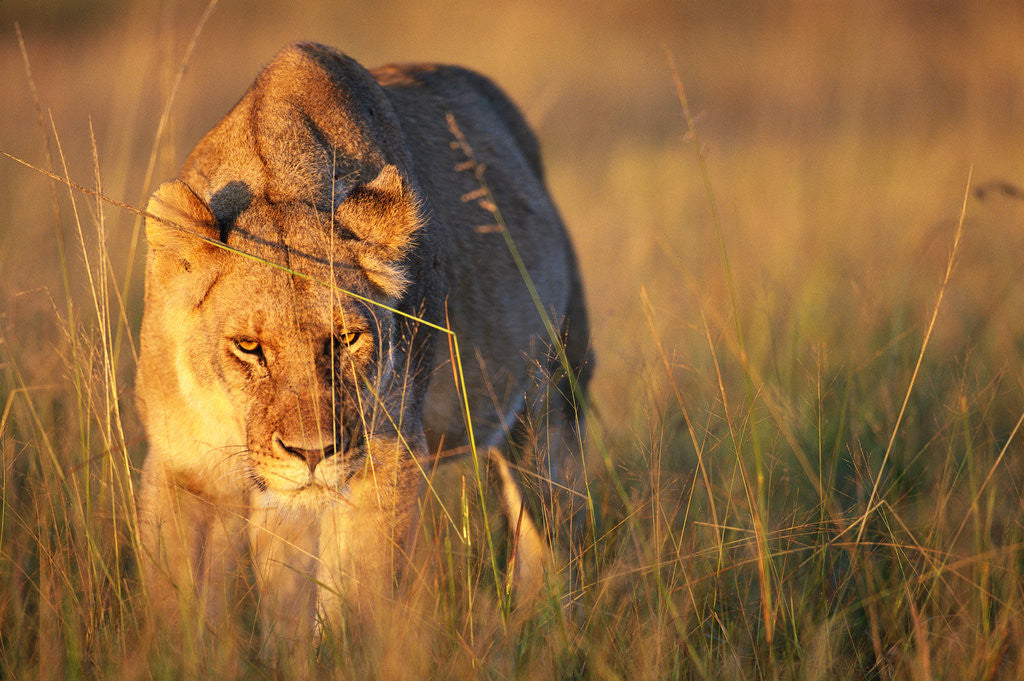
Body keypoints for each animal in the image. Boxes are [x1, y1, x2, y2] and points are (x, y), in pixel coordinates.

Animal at [136, 42, 591, 655]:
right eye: (249, 347)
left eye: (348, 338)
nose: (311, 454)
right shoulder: (187, 470)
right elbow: (179, 609)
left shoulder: (386, 458)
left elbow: (357, 607)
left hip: (551, 407)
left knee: (551, 539)